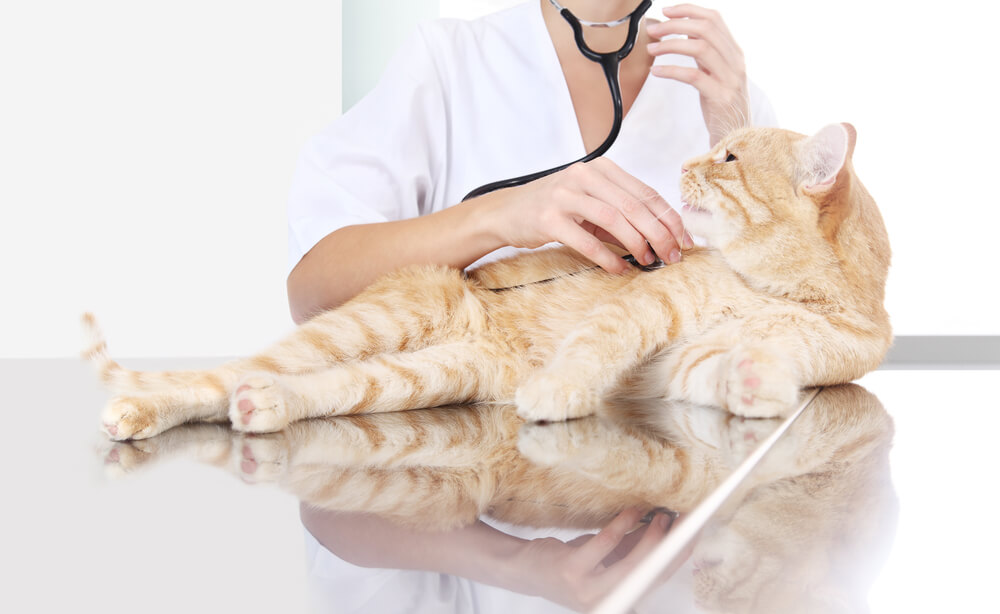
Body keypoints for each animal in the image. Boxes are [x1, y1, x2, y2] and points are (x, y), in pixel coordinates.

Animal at [82, 122, 888, 440]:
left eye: (728, 159)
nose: (687, 163)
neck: (772, 289)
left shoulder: (724, 359)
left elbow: (750, 365)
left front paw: (758, 381)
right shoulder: (645, 304)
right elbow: (596, 342)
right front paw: (559, 389)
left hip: (421, 377)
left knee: (304, 389)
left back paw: (265, 406)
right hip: (365, 326)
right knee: (214, 379)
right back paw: (141, 409)